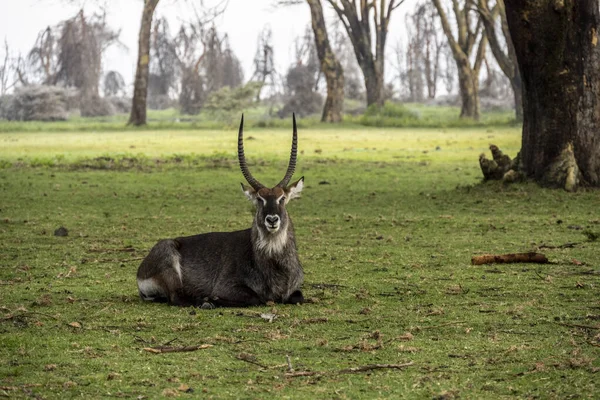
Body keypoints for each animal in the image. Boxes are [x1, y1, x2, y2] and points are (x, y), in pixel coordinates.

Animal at [137, 114, 304, 308]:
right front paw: (213, 298)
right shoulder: (227, 286)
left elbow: (299, 297)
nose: (272, 220)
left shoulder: (292, 291)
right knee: (177, 298)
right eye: (259, 199)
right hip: (169, 259)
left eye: (282, 198)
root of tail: (140, 272)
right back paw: (206, 301)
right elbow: (256, 298)